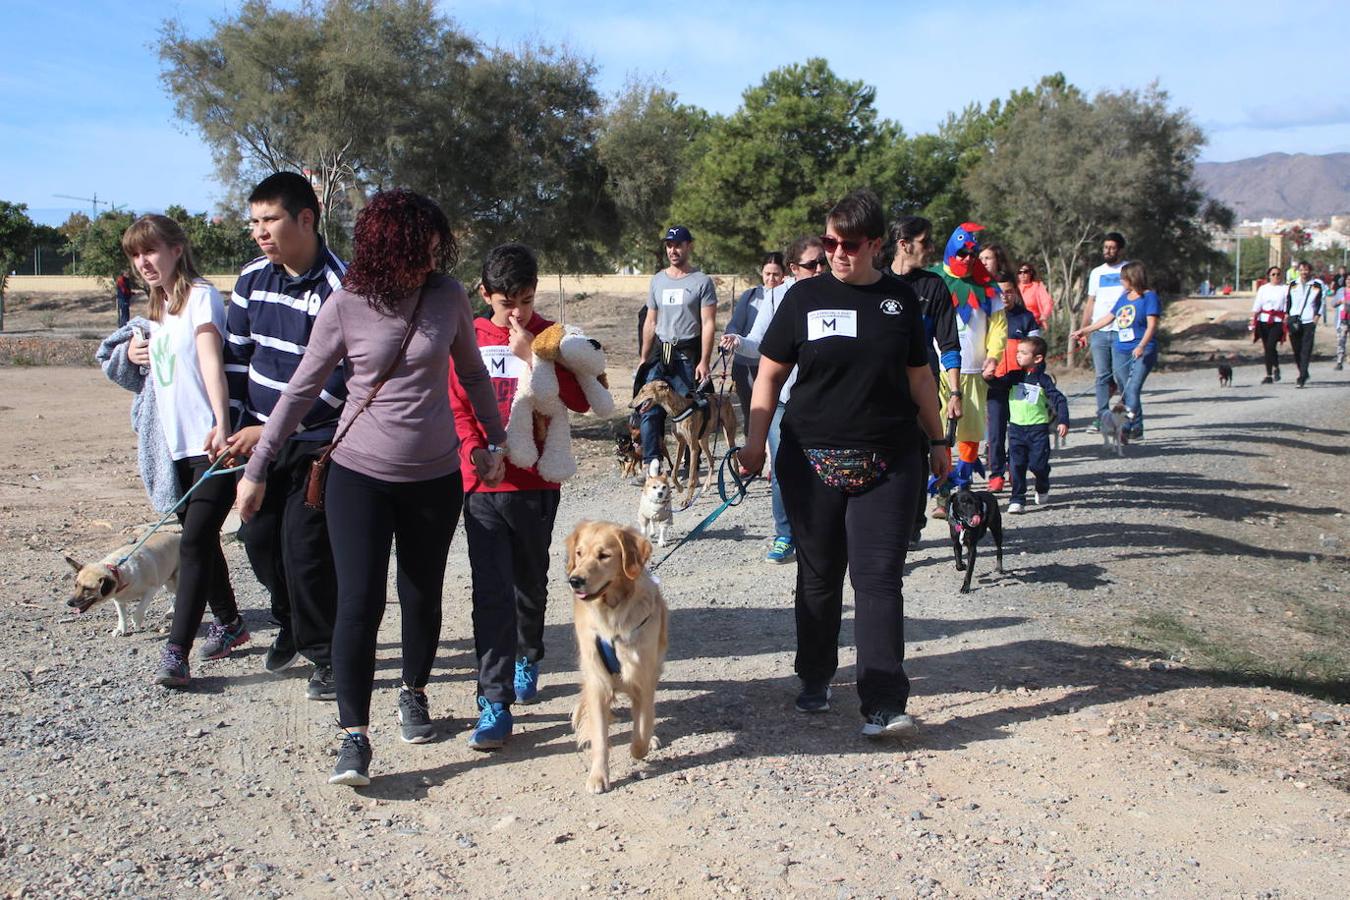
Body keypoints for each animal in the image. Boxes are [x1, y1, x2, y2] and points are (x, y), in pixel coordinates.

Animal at [564, 520, 669, 793]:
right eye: (579, 553)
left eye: (604, 555)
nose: (575, 580)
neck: (612, 614)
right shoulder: (597, 681)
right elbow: (600, 737)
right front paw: (598, 777)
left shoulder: (642, 677)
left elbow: (642, 725)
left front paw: (639, 749)